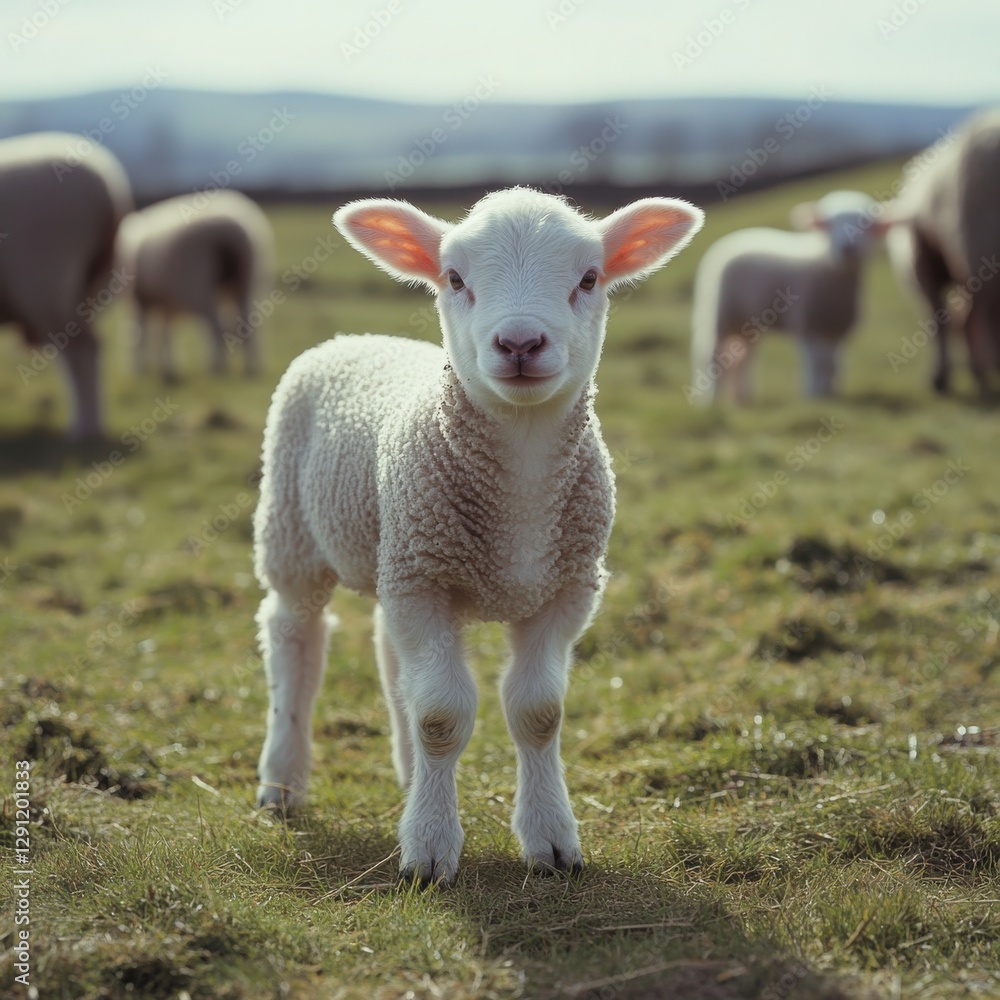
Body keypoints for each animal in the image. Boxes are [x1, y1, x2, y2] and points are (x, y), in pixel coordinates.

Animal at [116, 190, 274, 379]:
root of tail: (228, 233)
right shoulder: (167, 305)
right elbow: (164, 333)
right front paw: (167, 365)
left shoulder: (141, 300)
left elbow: (143, 334)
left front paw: (143, 368)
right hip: (245, 282)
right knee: (247, 325)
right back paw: (251, 367)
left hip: (199, 285)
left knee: (216, 325)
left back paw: (217, 365)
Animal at [253, 187, 704, 883]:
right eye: (455, 279)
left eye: (589, 278)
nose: (519, 342)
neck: (518, 490)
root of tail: (352, 337)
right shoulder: (428, 578)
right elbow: (442, 715)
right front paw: (430, 849)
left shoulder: (565, 589)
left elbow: (538, 713)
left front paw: (551, 840)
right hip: (295, 535)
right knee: (293, 640)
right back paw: (281, 780)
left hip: (395, 556)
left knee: (390, 654)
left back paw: (407, 773)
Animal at [689, 190, 890, 403]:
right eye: (828, 224)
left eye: (868, 226)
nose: (847, 249)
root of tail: (731, 238)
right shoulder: (808, 325)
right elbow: (818, 363)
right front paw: (814, 395)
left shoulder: (838, 331)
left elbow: (833, 365)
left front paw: (831, 393)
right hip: (719, 313)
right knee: (712, 354)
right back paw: (711, 399)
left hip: (748, 323)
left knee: (744, 357)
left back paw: (744, 396)